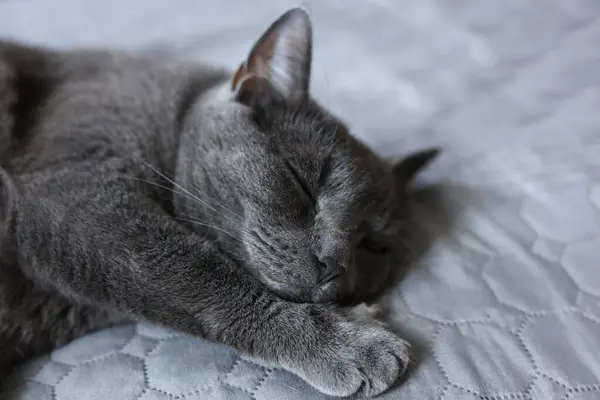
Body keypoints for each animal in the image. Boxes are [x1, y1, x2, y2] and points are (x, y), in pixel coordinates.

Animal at [0, 7, 438, 398]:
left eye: (373, 246)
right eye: (302, 183)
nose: (333, 263)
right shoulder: (76, 187)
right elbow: (199, 275)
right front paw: (353, 345)